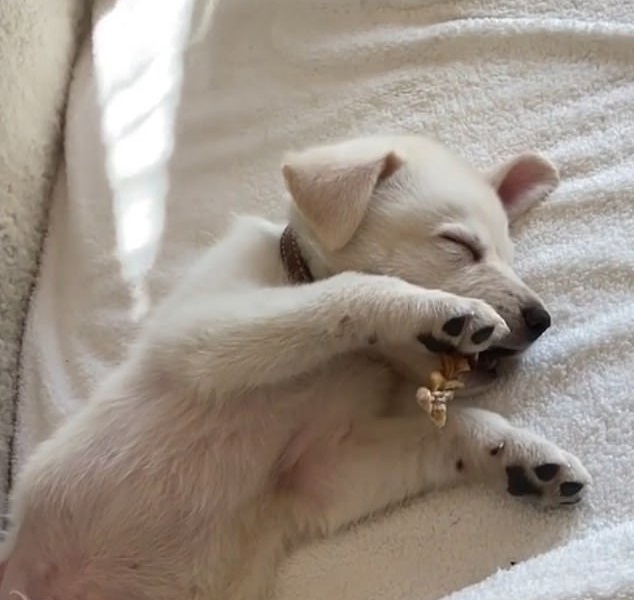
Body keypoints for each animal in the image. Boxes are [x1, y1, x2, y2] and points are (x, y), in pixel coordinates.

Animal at [0, 134, 591, 600]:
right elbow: (346, 291)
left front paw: (522, 457)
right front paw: (438, 310)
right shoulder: (204, 336)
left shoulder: (319, 470)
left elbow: (450, 432)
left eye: (508, 255)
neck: (356, 362)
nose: (541, 320)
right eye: (459, 244)